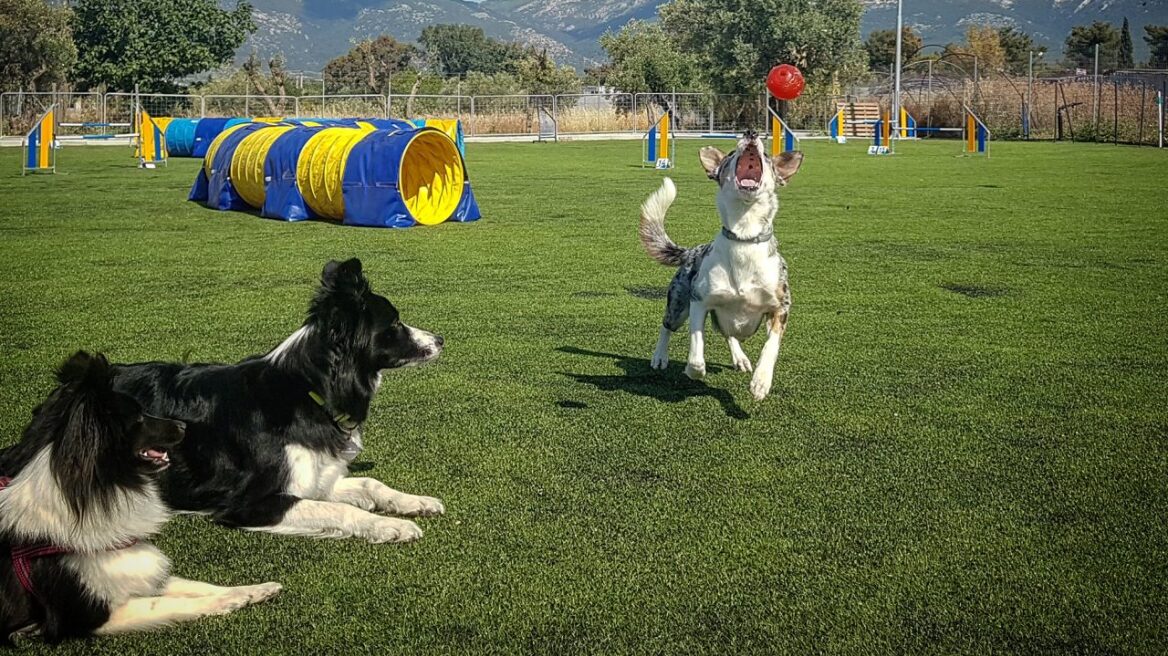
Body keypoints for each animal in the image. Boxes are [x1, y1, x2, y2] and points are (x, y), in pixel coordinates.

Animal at [0, 350, 280, 639]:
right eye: (139, 419)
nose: (183, 425)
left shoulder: (140, 572)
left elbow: (196, 585)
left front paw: (254, 591)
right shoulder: (90, 616)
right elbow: (173, 603)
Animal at [110, 257, 446, 543]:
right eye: (395, 324)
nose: (441, 339)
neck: (309, 388)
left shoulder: (318, 479)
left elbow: (370, 483)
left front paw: (415, 501)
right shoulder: (251, 503)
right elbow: (341, 509)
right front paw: (390, 525)